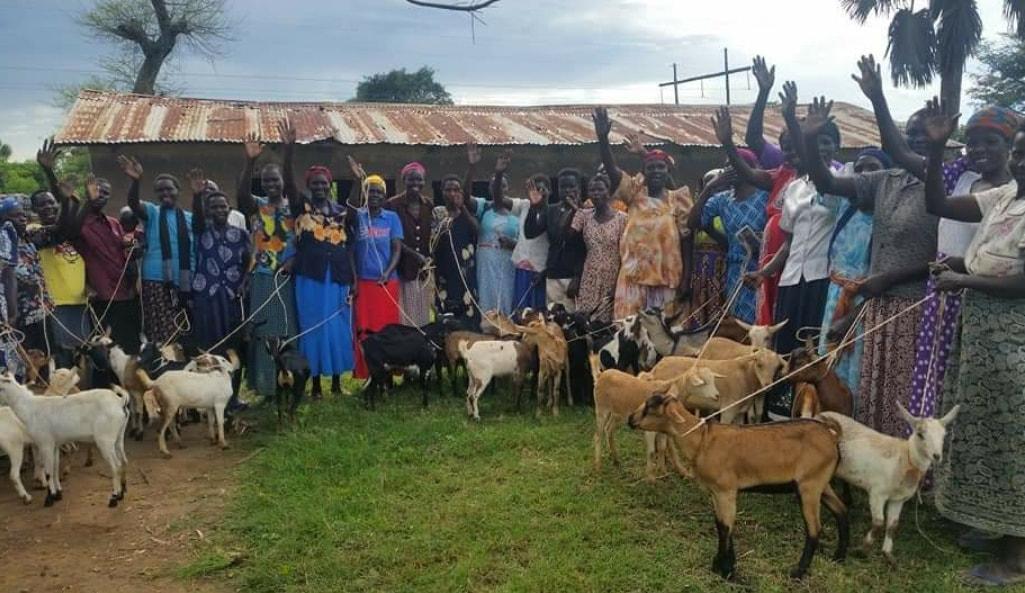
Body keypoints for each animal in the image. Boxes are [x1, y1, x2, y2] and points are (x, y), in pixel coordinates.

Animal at [0, 376, 130, 505]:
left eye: (0, 388)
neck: (30, 410)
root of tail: (120, 401)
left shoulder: (45, 443)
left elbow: (48, 472)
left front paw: (49, 498)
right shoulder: (54, 445)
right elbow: (55, 469)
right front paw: (58, 494)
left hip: (105, 440)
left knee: (116, 466)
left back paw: (114, 498)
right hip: (118, 436)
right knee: (123, 461)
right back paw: (122, 493)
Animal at [590, 352, 725, 483]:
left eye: (713, 380)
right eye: (703, 382)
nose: (717, 396)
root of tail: (601, 375)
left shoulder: (662, 427)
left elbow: (662, 448)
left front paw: (663, 472)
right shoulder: (649, 429)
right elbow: (651, 451)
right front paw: (651, 478)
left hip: (617, 413)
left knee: (609, 430)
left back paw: (616, 459)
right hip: (601, 409)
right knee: (598, 435)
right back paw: (597, 466)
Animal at [627, 391, 852, 581]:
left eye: (650, 406)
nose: (630, 419)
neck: (702, 440)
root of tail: (832, 436)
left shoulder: (726, 490)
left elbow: (726, 528)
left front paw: (727, 571)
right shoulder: (715, 492)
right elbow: (721, 525)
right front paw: (722, 565)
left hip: (809, 485)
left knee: (814, 529)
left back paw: (798, 572)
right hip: (821, 483)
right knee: (841, 511)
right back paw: (838, 557)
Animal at [820, 405, 955, 565]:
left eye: (944, 436)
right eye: (920, 434)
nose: (937, 456)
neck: (906, 458)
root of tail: (820, 414)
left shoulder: (899, 499)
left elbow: (892, 525)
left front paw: (888, 555)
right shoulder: (877, 492)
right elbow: (879, 523)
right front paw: (862, 550)